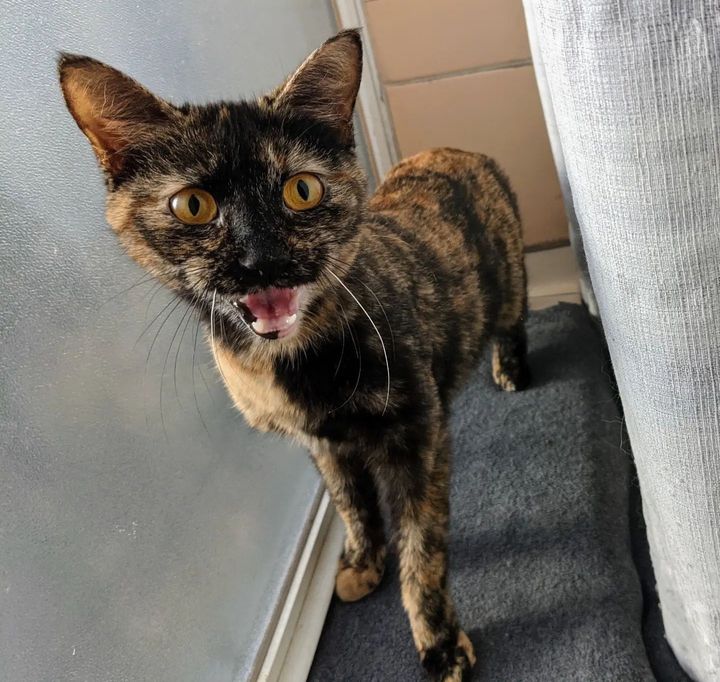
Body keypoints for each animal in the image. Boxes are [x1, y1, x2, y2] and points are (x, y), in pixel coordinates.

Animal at [59, 29, 528, 676]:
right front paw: (362, 564)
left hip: (509, 282)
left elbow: (423, 549)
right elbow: (353, 506)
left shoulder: (418, 436)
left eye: (301, 190)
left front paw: (438, 643)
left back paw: (511, 368)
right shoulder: (324, 446)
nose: (263, 261)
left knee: (514, 319)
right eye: (193, 205)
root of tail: (452, 148)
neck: (301, 365)